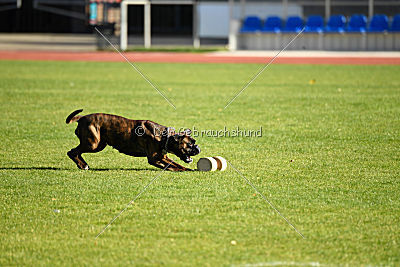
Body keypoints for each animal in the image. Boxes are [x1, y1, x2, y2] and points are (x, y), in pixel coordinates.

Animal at [67, 110, 203, 172]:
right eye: (190, 144)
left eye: (194, 142)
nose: (198, 148)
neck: (164, 136)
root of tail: (82, 118)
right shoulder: (155, 158)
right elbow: (176, 166)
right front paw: (186, 170)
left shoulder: (162, 157)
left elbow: (175, 165)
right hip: (92, 144)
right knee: (72, 152)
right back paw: (82, 165)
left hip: (99, 144)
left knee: (76, 152)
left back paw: (83, 165)